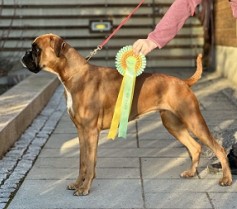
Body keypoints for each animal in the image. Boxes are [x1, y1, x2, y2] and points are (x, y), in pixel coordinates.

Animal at [21, 33, 232, 195]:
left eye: (36, 49)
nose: (24, 55)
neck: (74, 74)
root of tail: (183, 82)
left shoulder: (90, 131)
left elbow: (89, 162)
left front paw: (85, 188)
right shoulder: (81, 132)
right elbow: (82, 161)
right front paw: (77, 183)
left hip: (193, 120)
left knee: (219, 149)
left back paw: (226, 179)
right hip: (172, 124)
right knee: (195, 147)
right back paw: (190, 173)